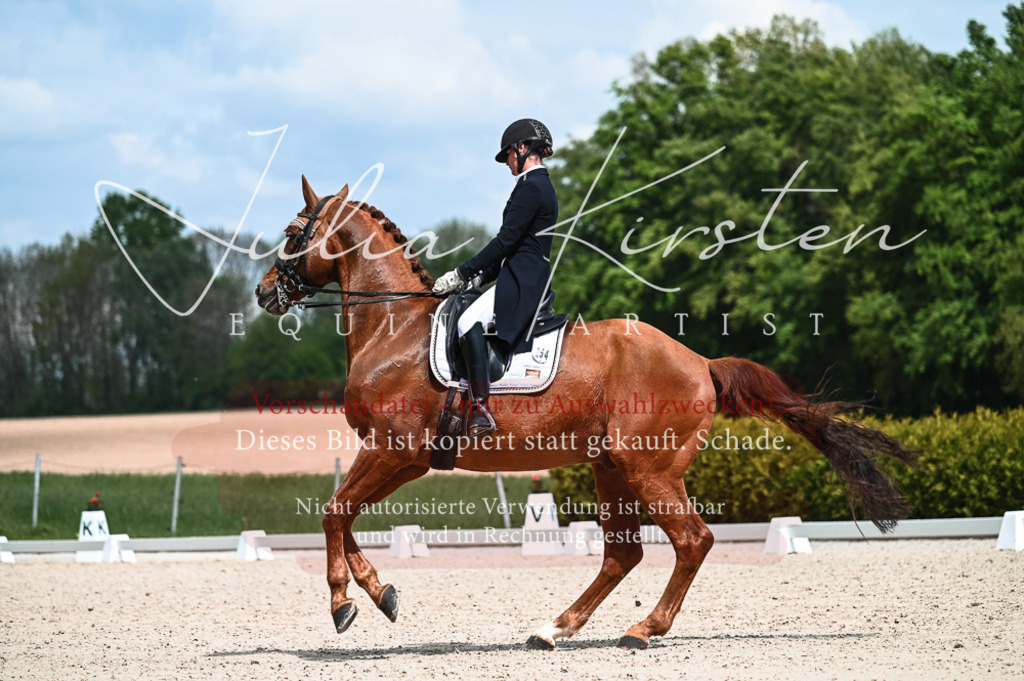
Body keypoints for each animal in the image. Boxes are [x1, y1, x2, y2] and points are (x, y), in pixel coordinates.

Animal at [254, 176, 916, 650]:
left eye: (291, 231)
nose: (264, 292)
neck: (395, 330)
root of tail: (700, 361)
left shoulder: (397, 453)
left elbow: (333, 514)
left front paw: (344, 603)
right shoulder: (397, 457)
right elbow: (343, 518)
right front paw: (382, 593)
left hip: (648, 467)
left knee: (692, 540)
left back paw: (643, 631)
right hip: (611, 467)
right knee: (625, 554)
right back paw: (555, 628)